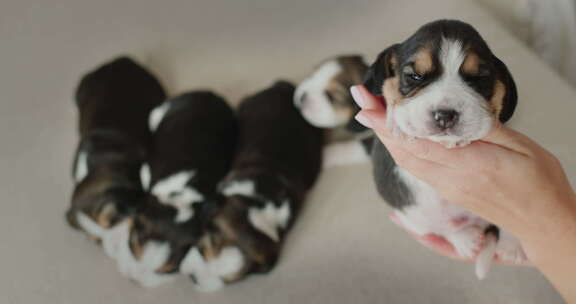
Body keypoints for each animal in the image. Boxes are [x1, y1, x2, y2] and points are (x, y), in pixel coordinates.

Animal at [103, 91, 236, 288]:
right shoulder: (145, 174)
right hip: (159, 113)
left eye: (166, 270)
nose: (134, 278)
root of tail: (211, 94)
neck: (178, 197)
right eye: (132, 245)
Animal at [364, 20, 528, 280]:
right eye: (414, 76)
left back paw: (511, 246)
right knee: (438, 226)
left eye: (479, 78)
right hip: (410, 211)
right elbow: (388, 93)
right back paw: (465, 239)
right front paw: (396, 122)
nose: (445, 115)